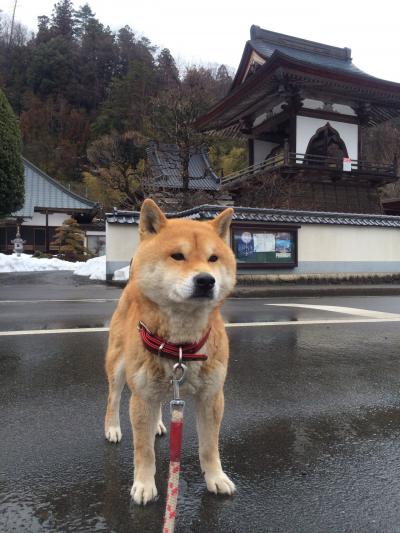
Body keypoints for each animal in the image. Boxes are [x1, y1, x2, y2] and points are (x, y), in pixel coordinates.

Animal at [104, 198, 239, 502]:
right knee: (113, 398)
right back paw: (113, 427)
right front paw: (144, 485)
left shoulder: (212, 397)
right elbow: (143, 450)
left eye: (213, 259)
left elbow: (209, 446)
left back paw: (156, 425)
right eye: (177, 256)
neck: (181, 346)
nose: (206, 280)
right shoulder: (141, 396)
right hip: (119, 366)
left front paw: (216, 478)